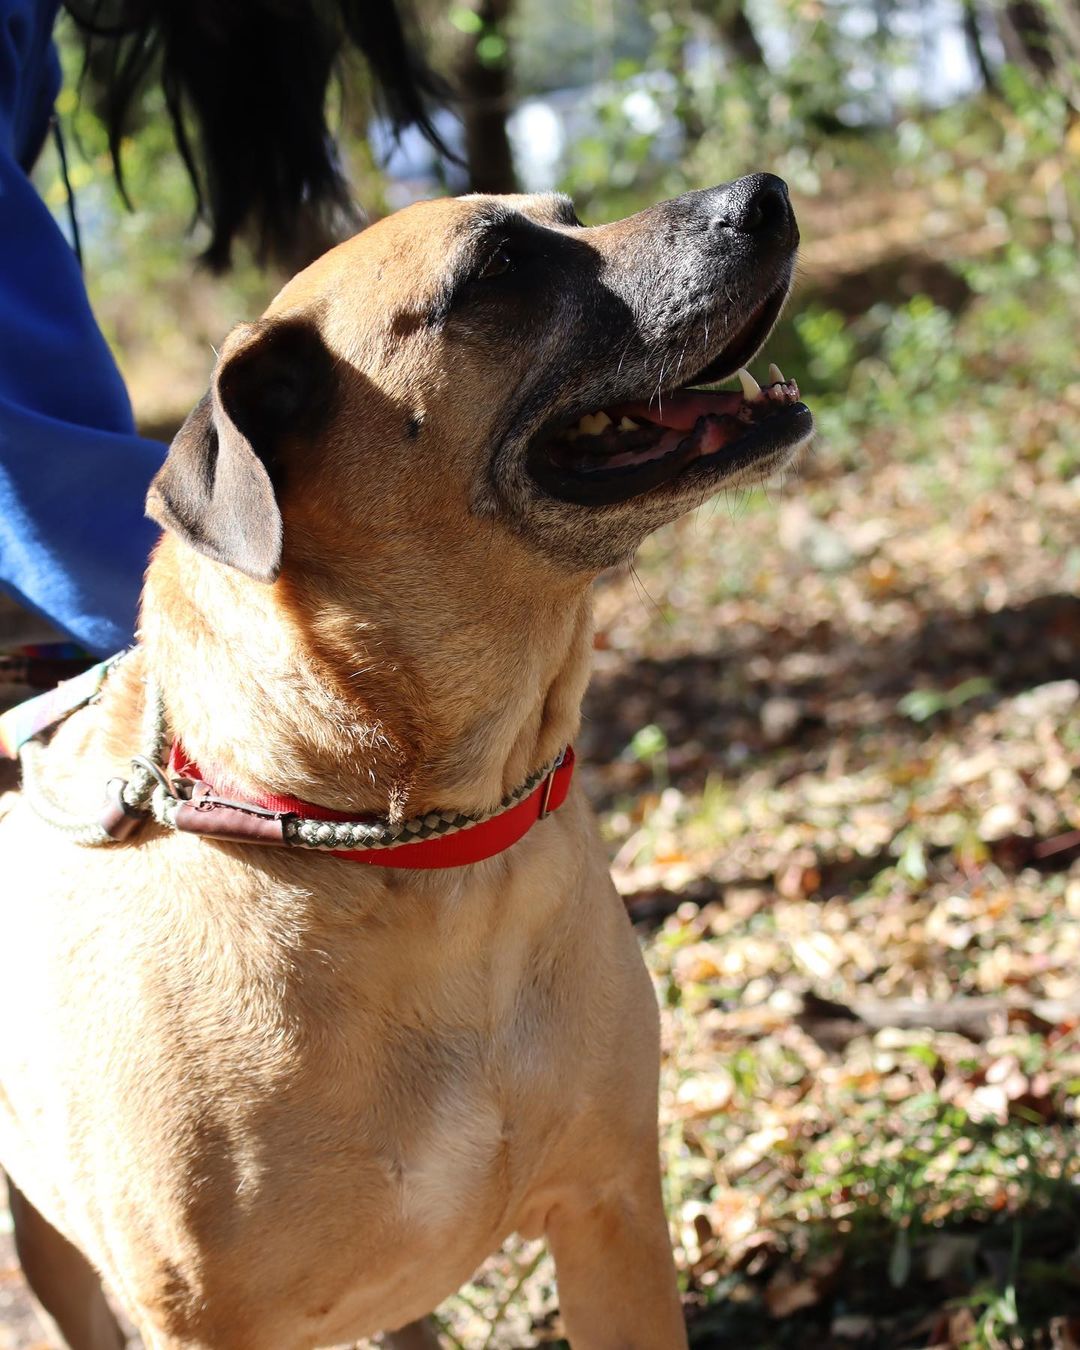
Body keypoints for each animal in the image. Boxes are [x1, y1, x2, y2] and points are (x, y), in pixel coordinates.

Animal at [0, 179, 810, 1350]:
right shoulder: (198, 1321)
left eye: (570, 214)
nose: (765, 194)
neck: (421, 847)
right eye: (498, 268)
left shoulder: (612, 1211)